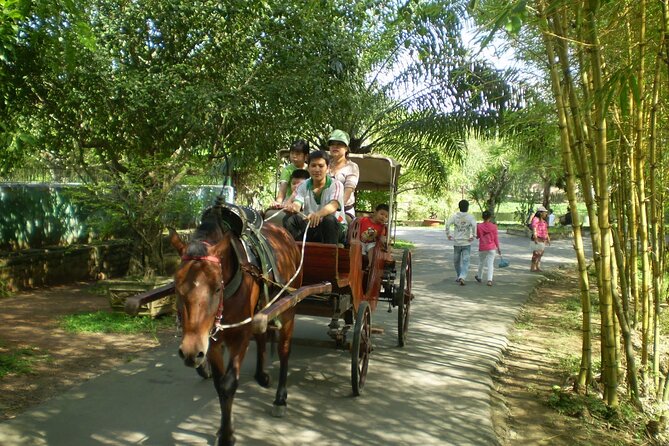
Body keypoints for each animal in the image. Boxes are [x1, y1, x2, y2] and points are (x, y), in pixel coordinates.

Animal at [170, 206, 302, 446]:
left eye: (217, 288)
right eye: (176, 286)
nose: (191, 352)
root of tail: (284, 233)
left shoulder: (239, 336)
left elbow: (229, 383)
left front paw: (227, 435)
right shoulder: (211, 341)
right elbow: (219, 384)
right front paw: (223, 431)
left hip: (289, 308)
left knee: (284, 351)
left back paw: (280, 399)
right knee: (262, 336)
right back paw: (261, 374)